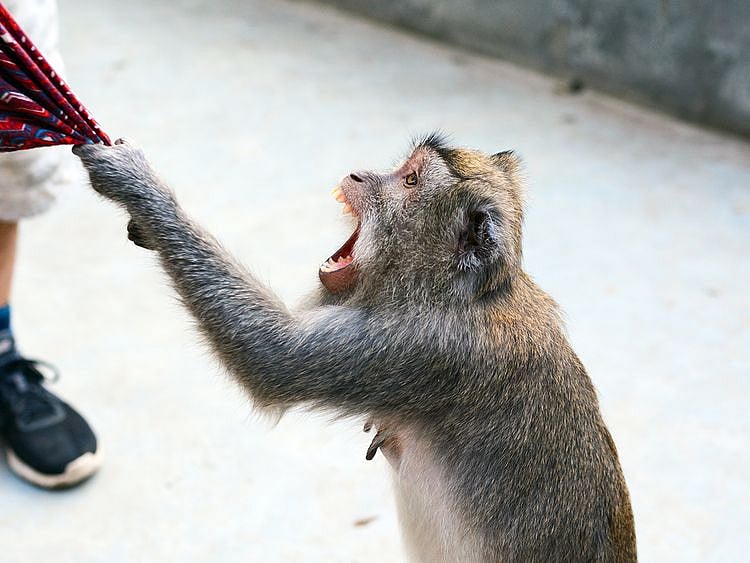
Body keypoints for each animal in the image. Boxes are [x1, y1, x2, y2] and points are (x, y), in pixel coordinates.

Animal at [73, 134, 636, 562]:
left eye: (410, 181)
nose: (360, 176)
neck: (460, 291)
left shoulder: (418, 346)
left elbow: (271, 357)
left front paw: (140, 189)